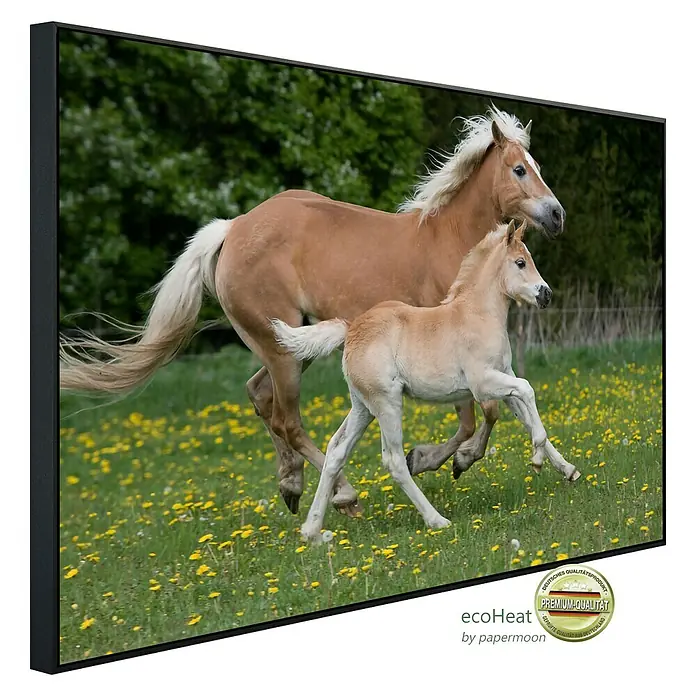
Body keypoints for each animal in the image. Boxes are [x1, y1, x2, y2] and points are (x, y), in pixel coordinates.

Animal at [59, 107, 565, 518]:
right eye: (519, 169)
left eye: (539, 166)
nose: (557, 215)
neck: (449, 242)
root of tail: (232, 229)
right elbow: (478, 416)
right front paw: (438, 460)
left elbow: (503, 410)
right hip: (283, 352)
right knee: (287, 419)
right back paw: (343, 493)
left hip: (290, 345)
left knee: (259, 396)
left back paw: (292, 486)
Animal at [272, 220, 581, 539]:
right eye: (520, 262)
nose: (546, 295)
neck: (477, 314)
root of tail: (351, 330)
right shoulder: (483, 384)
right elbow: (527, 391)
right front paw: (536, 458)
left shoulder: (504, 375)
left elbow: (525, 414)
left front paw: (567, 469)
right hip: (387, 403)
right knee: (394, 461)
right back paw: (436, 520)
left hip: (362, 407)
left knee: (336, 451)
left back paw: (312, 531)